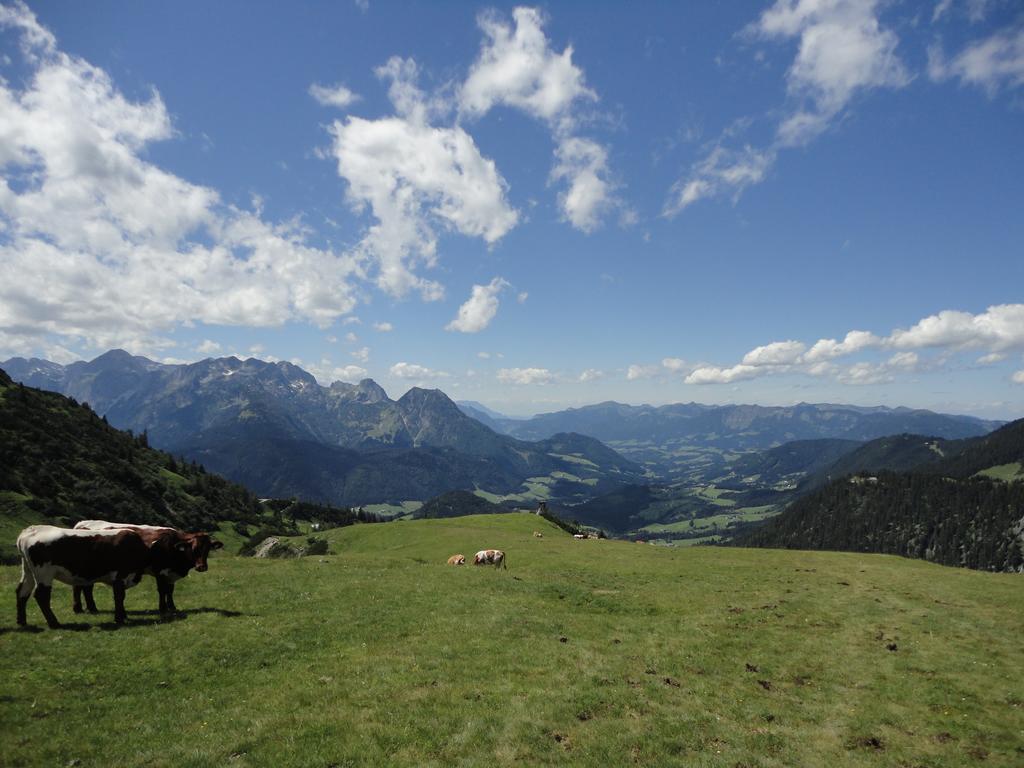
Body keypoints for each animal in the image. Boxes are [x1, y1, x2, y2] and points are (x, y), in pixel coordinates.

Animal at [72, 520, 224, 618]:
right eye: (194, 549)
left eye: (208, 549)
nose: (202, 567)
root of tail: (80, 524)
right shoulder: (160, 571)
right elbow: (162, 590)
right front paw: (163, 608)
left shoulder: (170, 574)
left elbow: (170, 590)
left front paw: (172, 607)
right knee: (82, 587)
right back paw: (84, 608)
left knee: (84, 587)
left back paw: (87, 609)